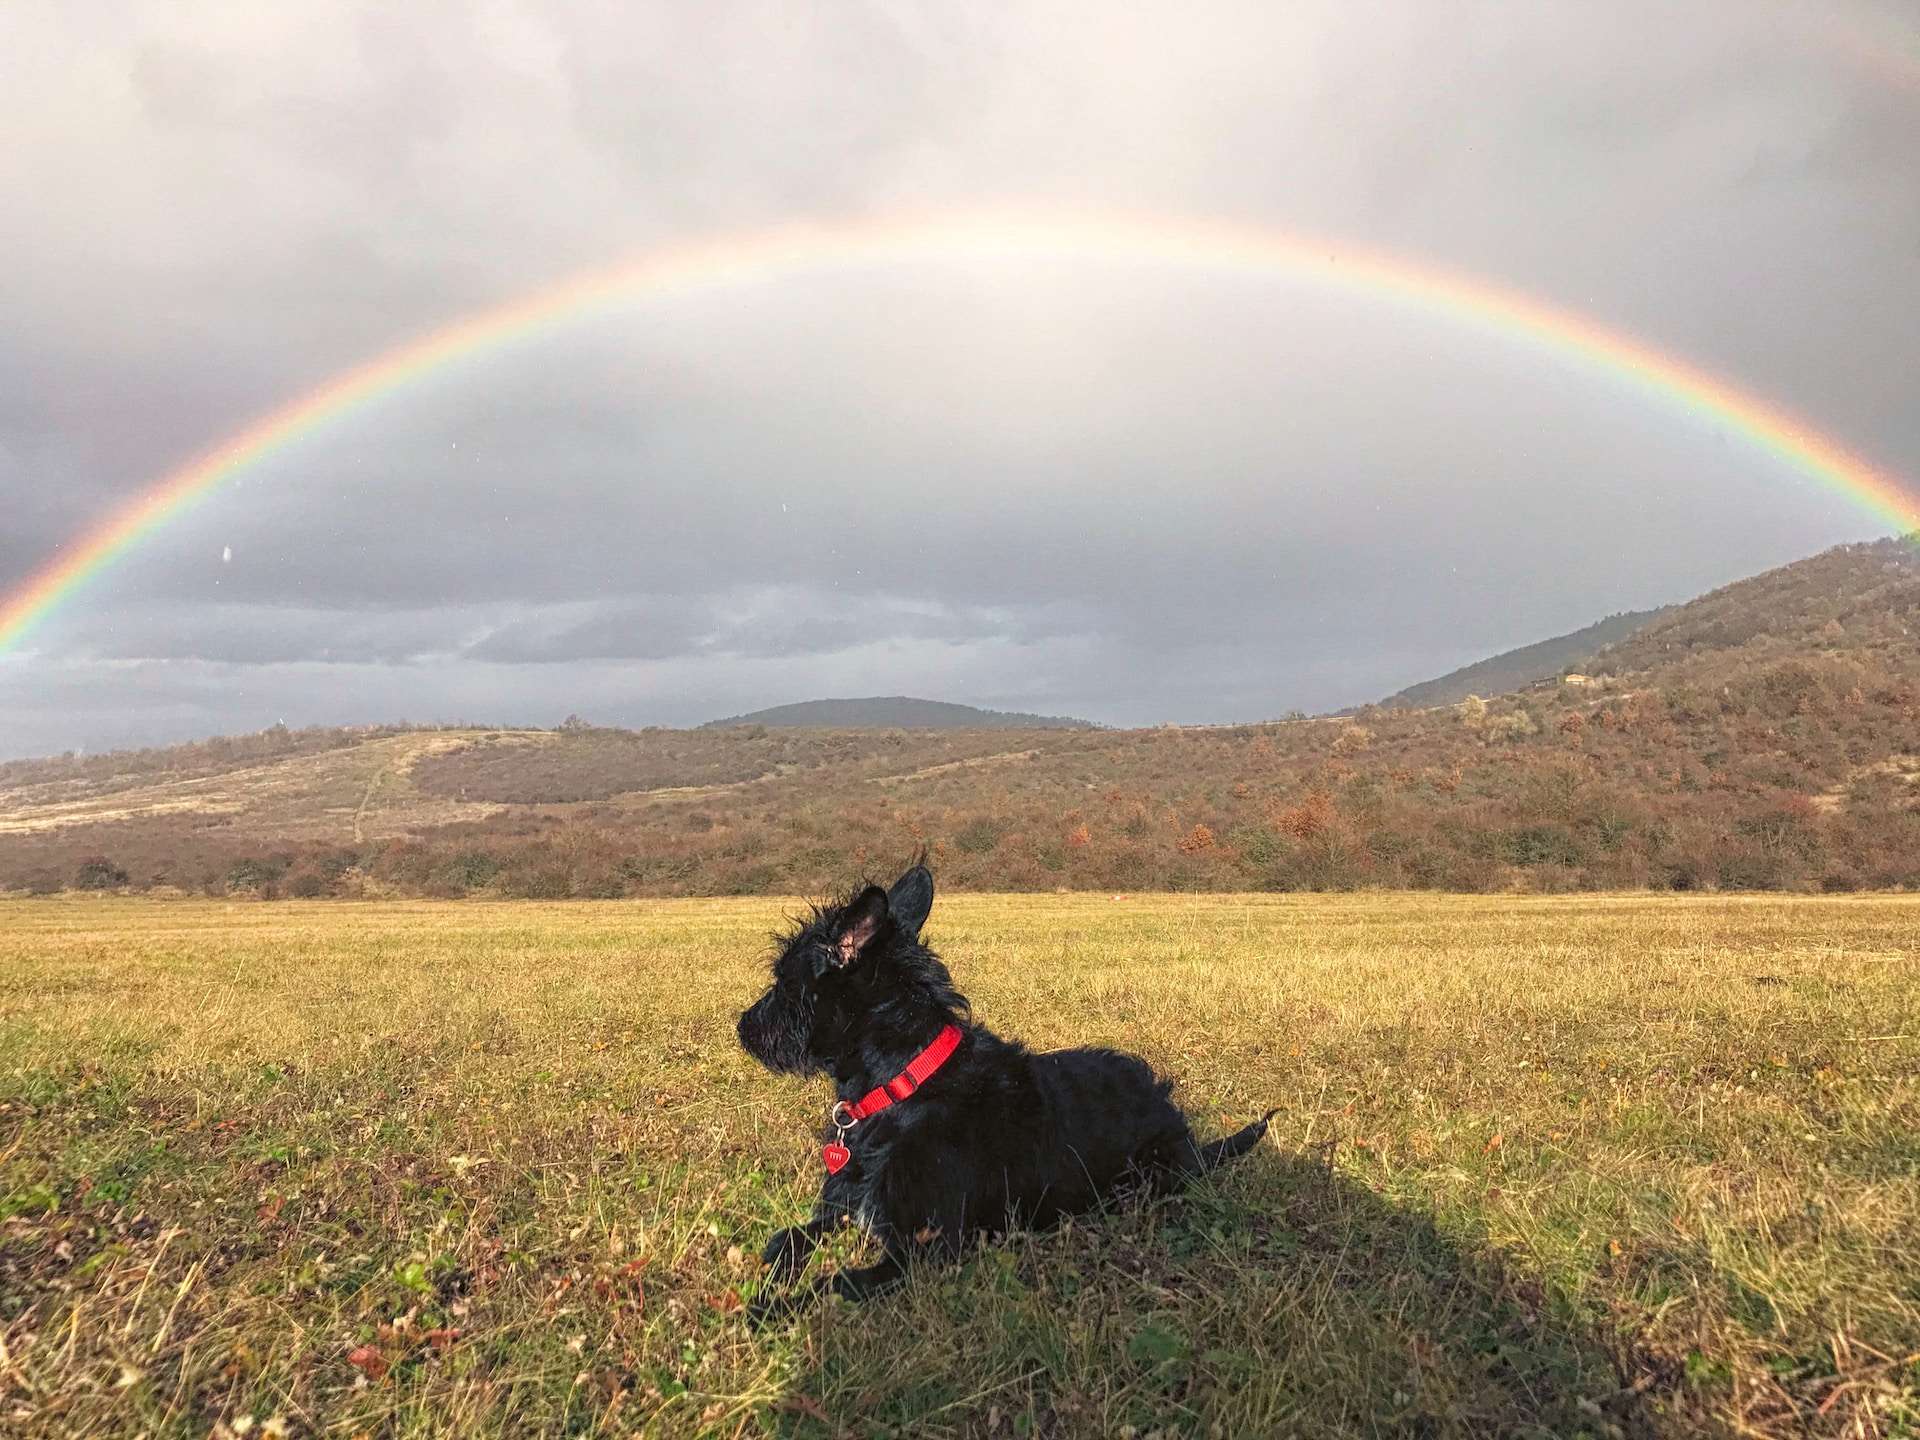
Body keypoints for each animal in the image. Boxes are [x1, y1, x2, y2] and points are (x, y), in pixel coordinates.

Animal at [737, 864, 1274, 1328]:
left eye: (783, 979)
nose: (742, 1027)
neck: (903, 1084)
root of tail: (1185, 1131)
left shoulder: (926, 1249)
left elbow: (835, 1283)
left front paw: (770, 1309)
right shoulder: (847, 1203)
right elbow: (788, 1237)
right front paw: (769, 1274)